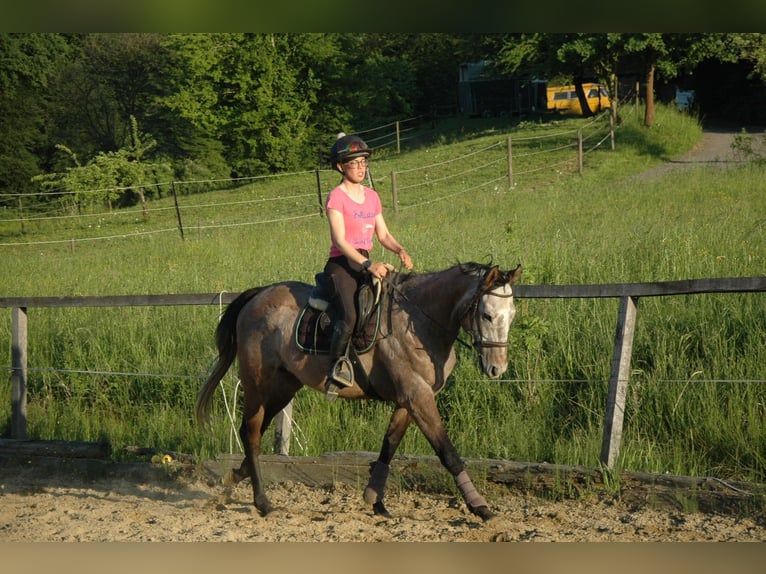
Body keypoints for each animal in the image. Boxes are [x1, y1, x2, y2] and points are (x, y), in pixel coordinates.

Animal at [195, 261, 522, 522]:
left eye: (512, 314)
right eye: (487, 315)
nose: (497, 368)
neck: (419, 322)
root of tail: (259, 295)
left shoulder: (409, 399)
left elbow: (389, 445)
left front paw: (375, 499)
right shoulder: (417, 396)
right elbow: (448, 453)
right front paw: (480, 507)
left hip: (284, 386)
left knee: (254, 430)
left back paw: (236, 476)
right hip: (256, 383)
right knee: (251, 431)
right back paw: (262, 502)